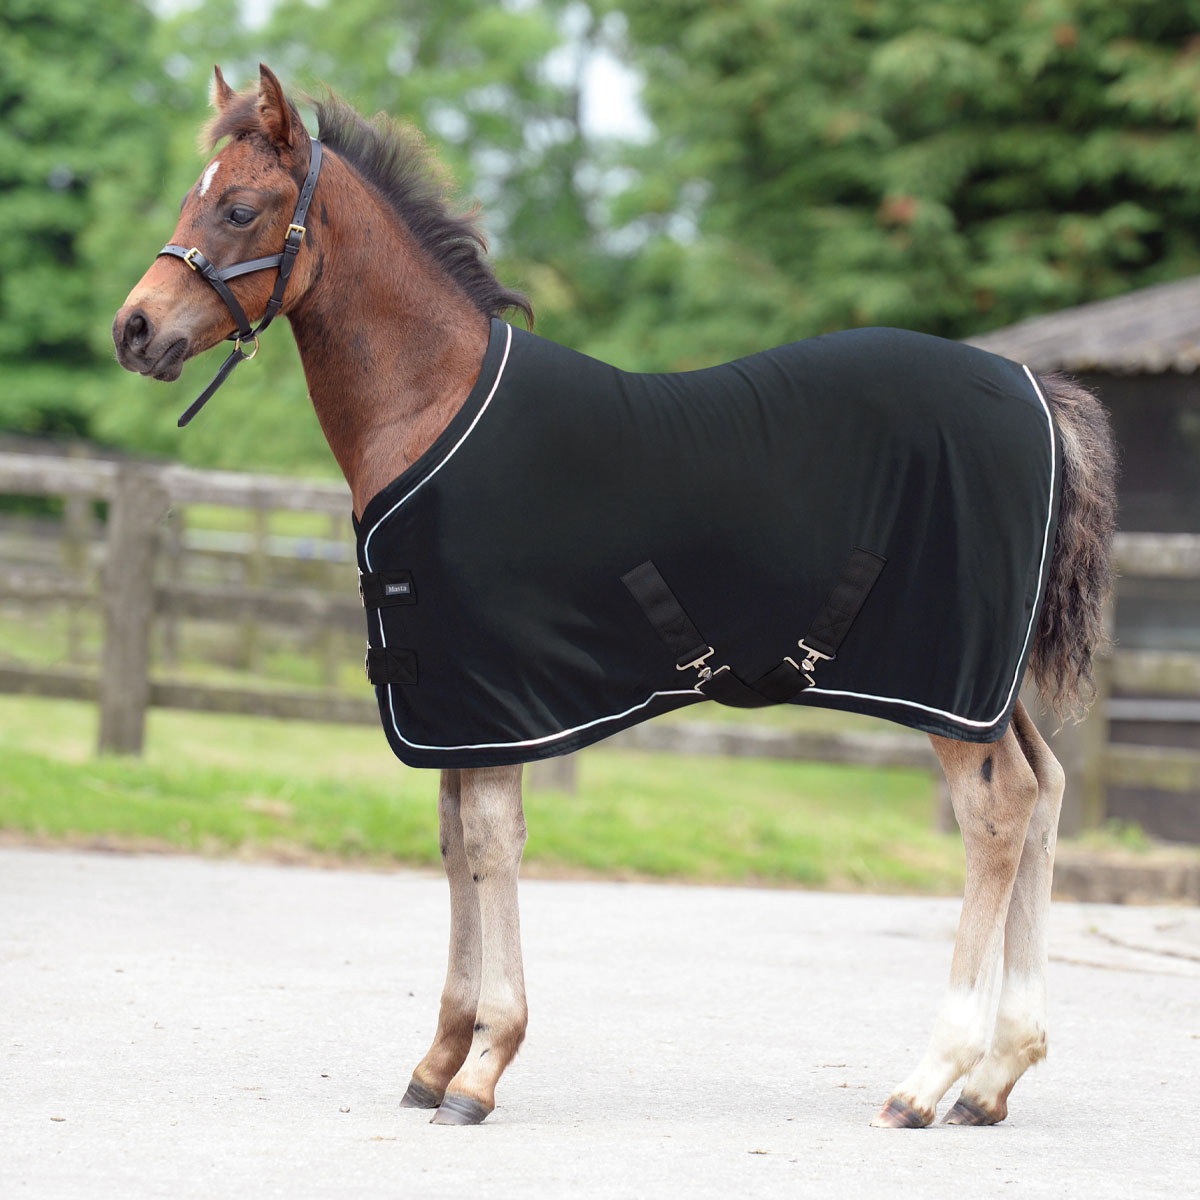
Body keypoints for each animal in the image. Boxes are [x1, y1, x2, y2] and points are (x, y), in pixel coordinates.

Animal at [113, 65, 1116, 1128]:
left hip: (948, 682)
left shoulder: (494, 694)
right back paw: (996, 1076)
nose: (134, 329)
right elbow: (454, 841)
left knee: (999, 811)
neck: (433, 404)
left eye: (239, 207)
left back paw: (930, 1080)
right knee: (1047, 791)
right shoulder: (454, 705)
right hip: (987, 686)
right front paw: (439, 1056)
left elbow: (491, 841)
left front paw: (484, 1064)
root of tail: (1038, 391)